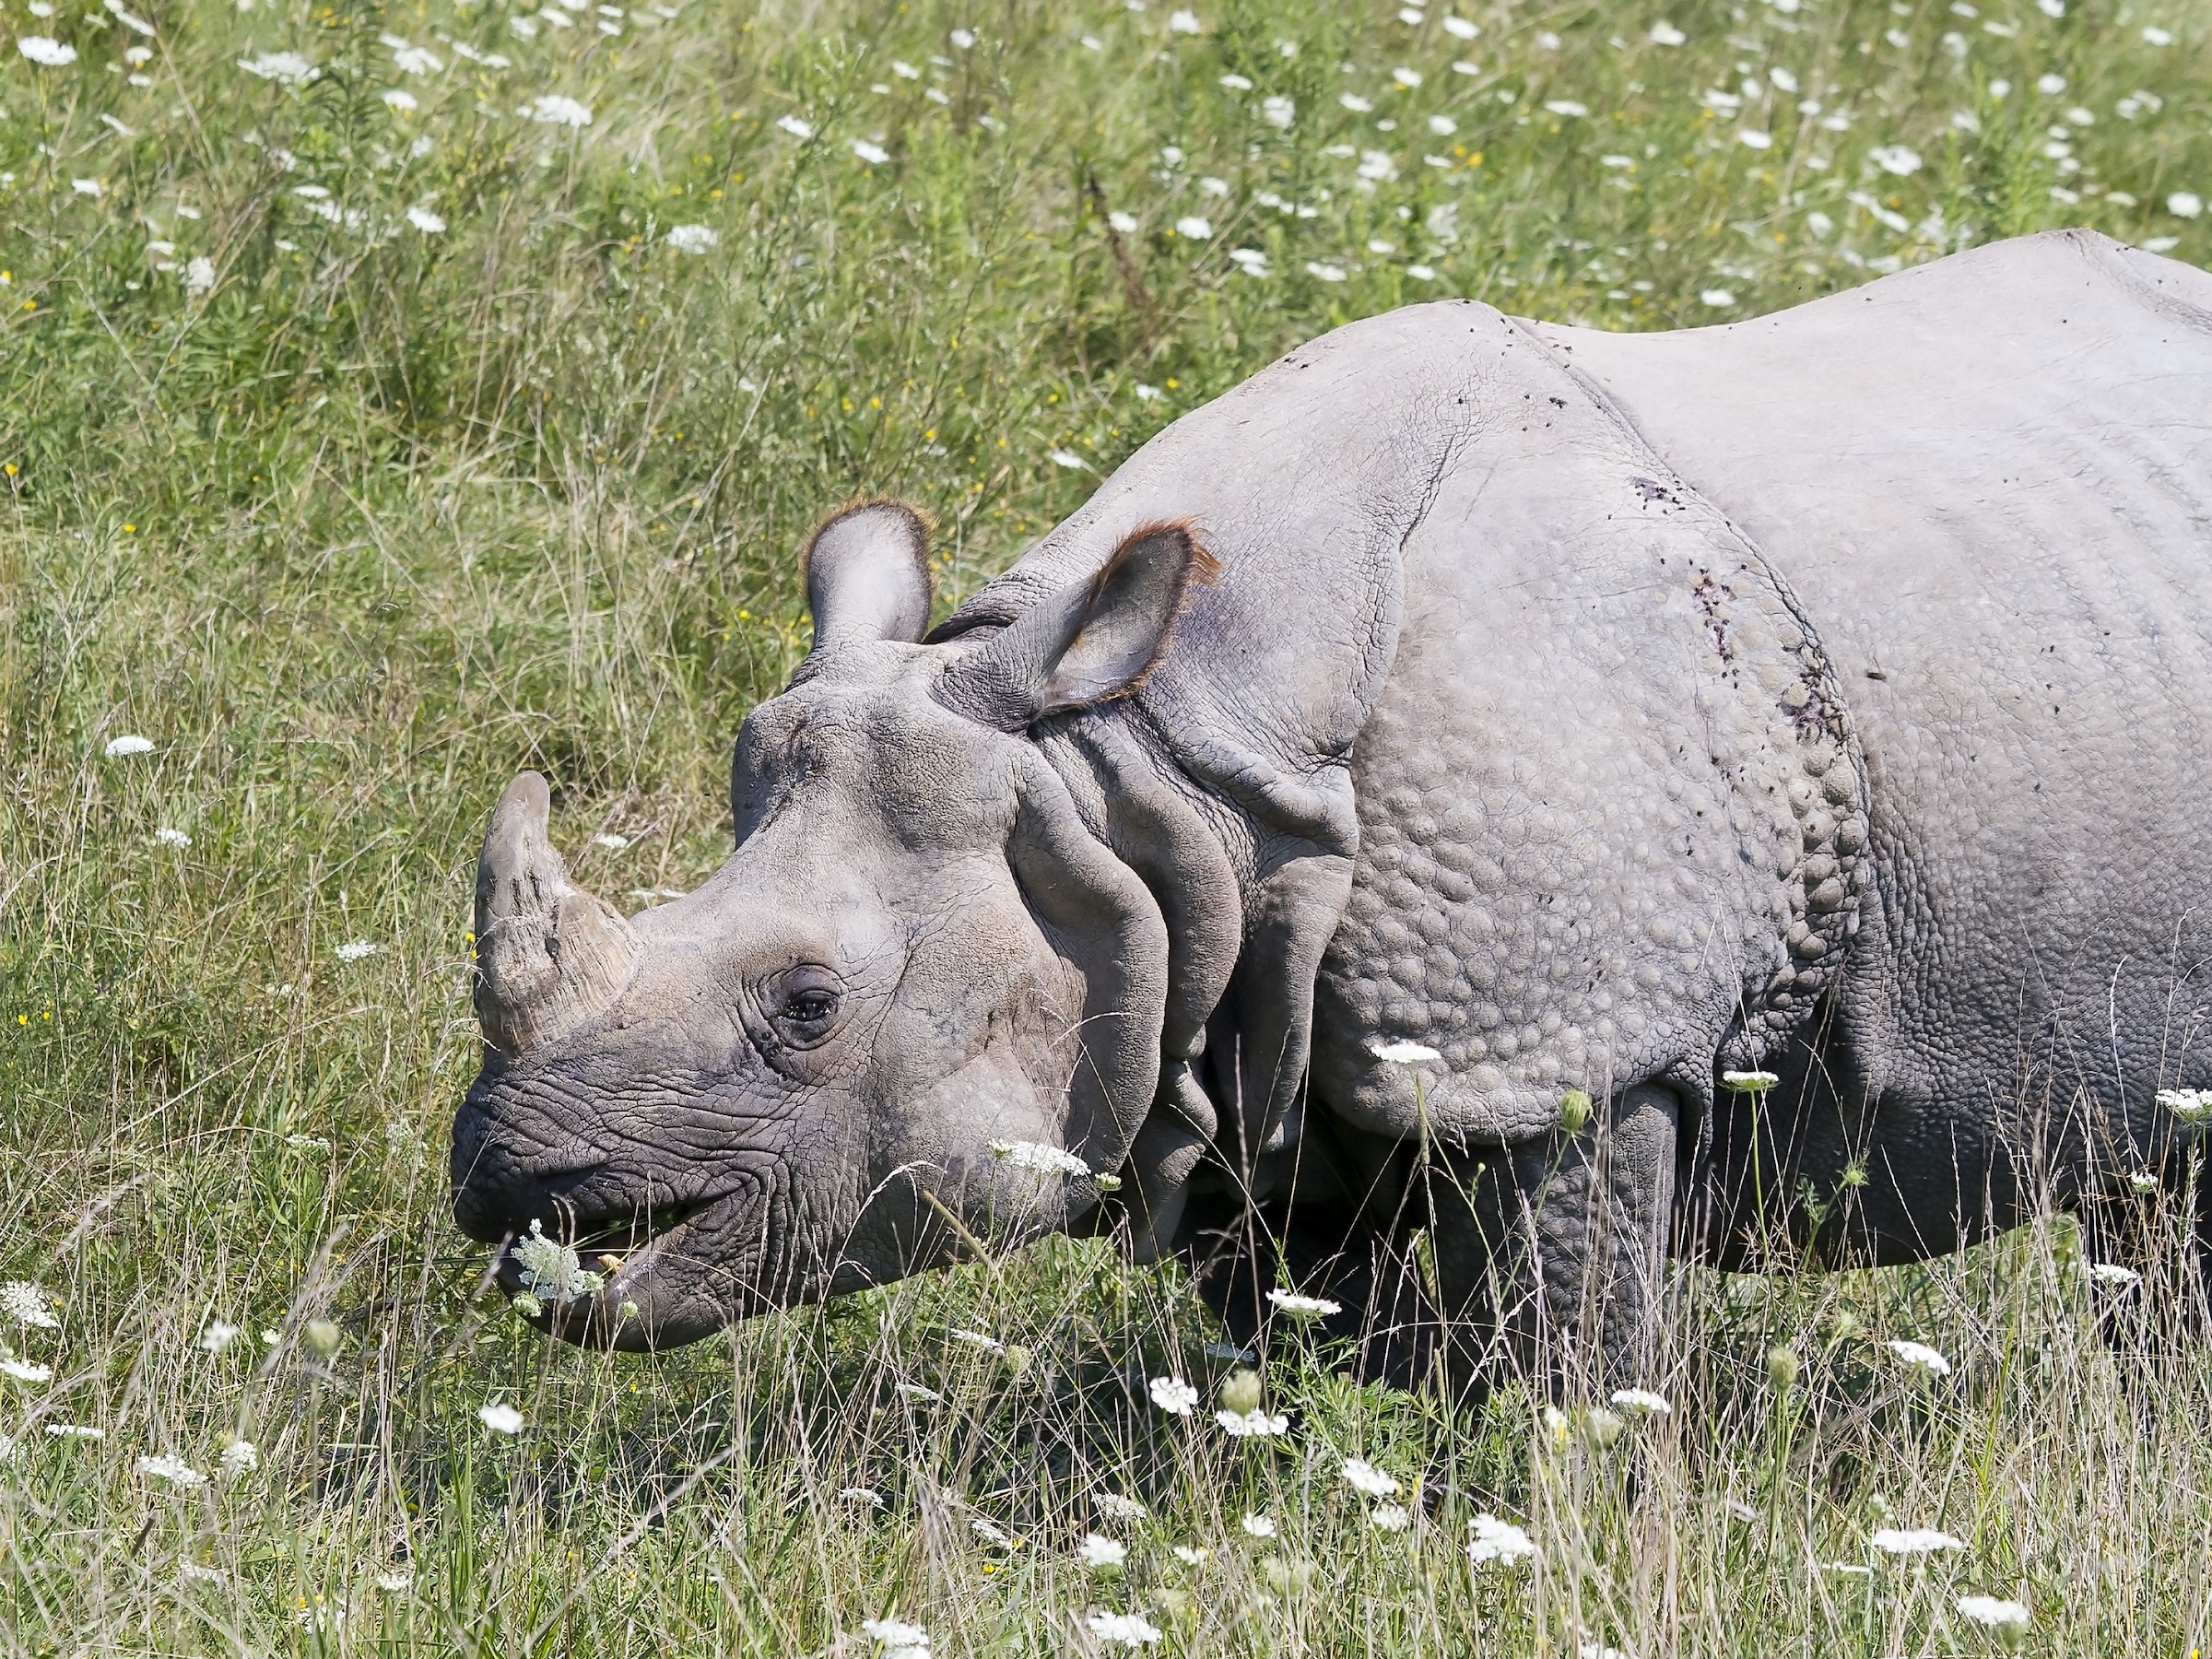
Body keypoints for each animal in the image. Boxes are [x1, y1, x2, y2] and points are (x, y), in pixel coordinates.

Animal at [449, 234, 2212, 1397]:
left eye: (808, 1008)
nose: (508, 1186)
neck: (1154, 767)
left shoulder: (1572, 1042)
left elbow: (1568, 1359)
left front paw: (1551, 1521)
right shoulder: (1231, 999)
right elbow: (1338, 1344)